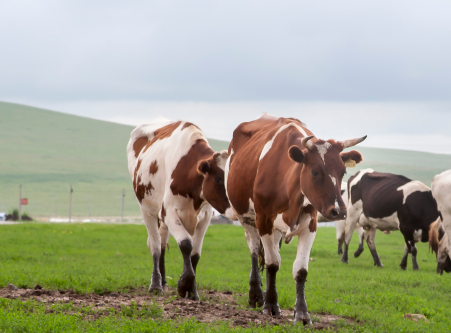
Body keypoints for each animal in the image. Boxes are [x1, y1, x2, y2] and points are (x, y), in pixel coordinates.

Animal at [126, 116, 233, 298]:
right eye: (219, 179)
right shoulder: (169, 213)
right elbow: (186, 244)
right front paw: (185, 285)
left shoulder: (205, 218)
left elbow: (195, 254)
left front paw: (193, 290)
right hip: (147, 210)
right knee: (155, 245)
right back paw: (156, 284)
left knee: (162, 243)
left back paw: (163, 281)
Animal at [226, 114, 368, 324]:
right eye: (315, 171)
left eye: (343, 172)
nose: (339, 211)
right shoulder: (264, 221)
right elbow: (272, 264)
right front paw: (270, 305)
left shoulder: (310, 225)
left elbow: (300, 270)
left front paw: (301, 313)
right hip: (245, 217)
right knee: (253, 249)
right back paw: (256, 295)